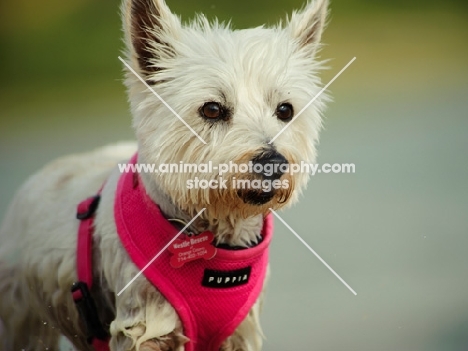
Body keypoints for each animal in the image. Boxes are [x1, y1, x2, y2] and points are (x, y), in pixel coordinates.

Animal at [0, 1, 330, 350]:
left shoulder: (241, 332)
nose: (274, 163)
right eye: (212, 109)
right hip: (21, 317)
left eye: (285, 110)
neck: (216, 234)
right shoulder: (145, 325)